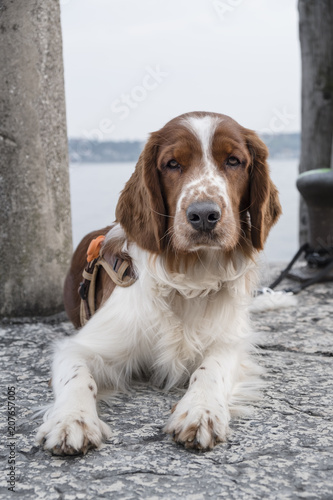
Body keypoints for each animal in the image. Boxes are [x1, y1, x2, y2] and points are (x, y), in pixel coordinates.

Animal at [35, 111, 280, 456]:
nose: (203, 215)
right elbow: (77, 375)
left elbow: (212, 368)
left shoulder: (229, 341)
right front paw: (72, 420)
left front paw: (201, 410)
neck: (190, 279)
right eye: (173, 164)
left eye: (233, 161)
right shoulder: (81, 346)